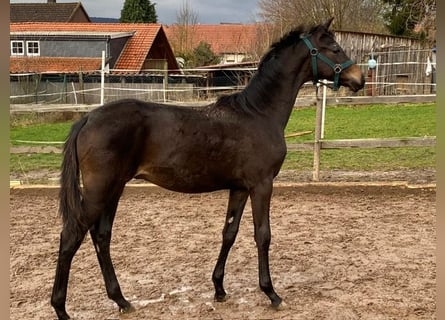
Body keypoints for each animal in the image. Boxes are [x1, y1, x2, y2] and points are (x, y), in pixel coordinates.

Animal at [51, 18, 364, 318]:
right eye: (334, 48)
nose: (358, 79)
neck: (259, 113)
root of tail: (88, 119)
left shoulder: (239, 188)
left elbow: (229, 233)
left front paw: (219, 288)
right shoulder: (262, 185)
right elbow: (262, 235)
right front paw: (271, 293)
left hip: (113, 190)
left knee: (101, 237)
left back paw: (121, 300)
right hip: (100, 190)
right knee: (71, 236)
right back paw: (61, 307)